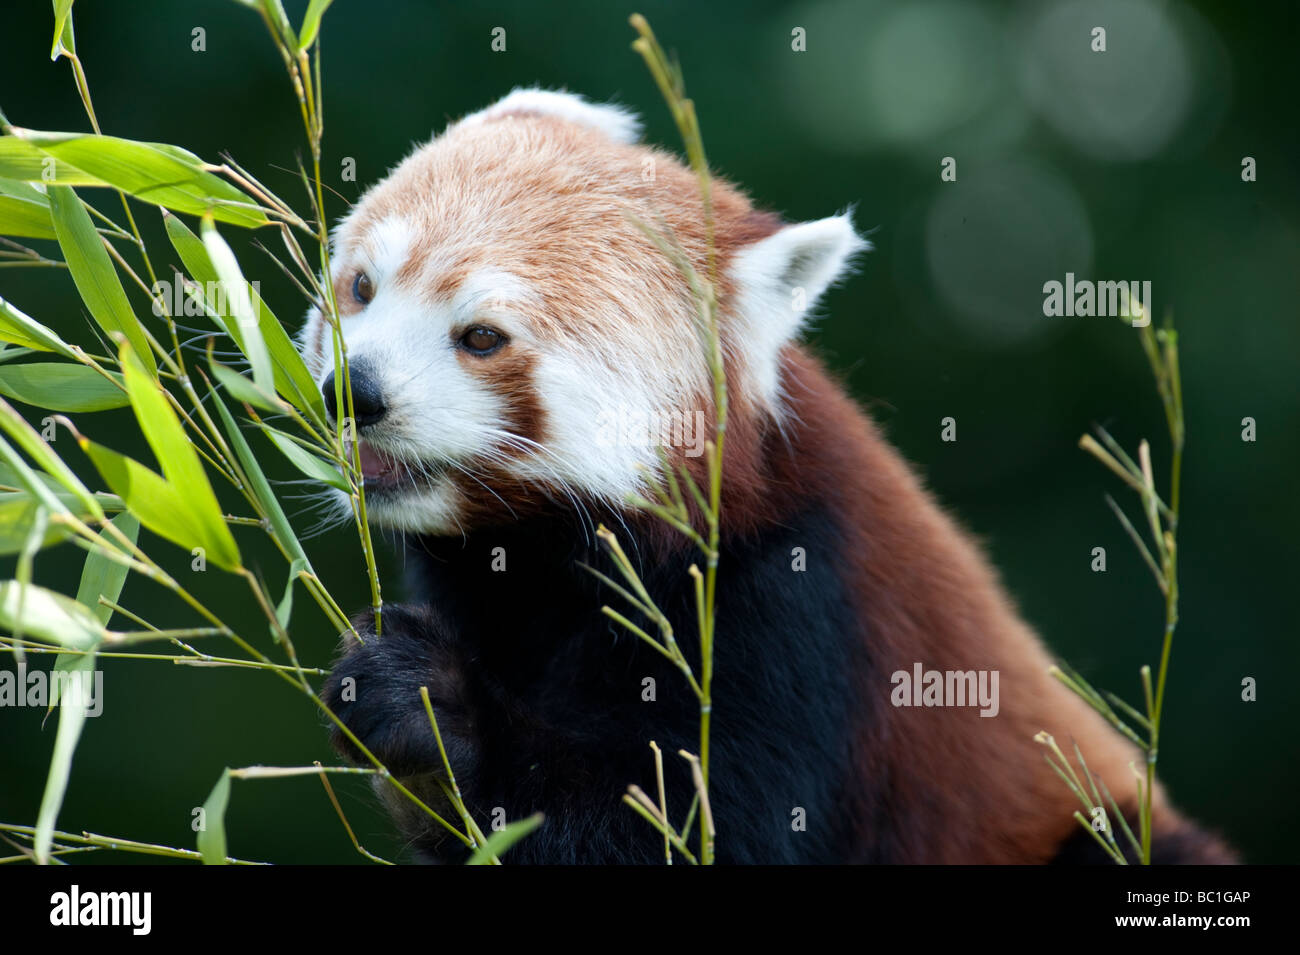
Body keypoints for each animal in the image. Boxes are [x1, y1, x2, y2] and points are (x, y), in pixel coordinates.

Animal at [299, 89, 1232, 867]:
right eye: (363, 286)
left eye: (481, 337)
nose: (355, 391)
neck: (544, 565)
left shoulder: (794, 610)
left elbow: (693, 826)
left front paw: (430, 706)